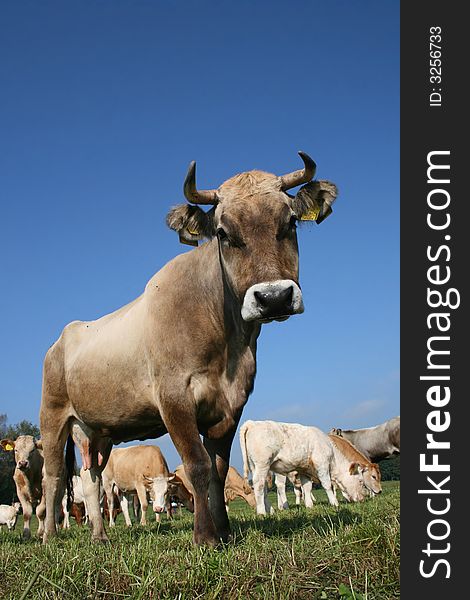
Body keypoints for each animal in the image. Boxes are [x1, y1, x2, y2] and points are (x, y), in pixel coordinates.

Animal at [39, 152, 338, 548]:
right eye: (224, 234)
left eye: (290, 222)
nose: (274, 297)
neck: (227, 347)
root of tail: (63, 336)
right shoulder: (174, 399)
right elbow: (197, 464)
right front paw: (205, 536)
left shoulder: (231, 404)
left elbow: (218, 470)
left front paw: (224, 530)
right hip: (53, 417)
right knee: (54, 478)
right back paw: (48, 536)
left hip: (94, 430)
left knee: (90, 480)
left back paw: (99, 536)